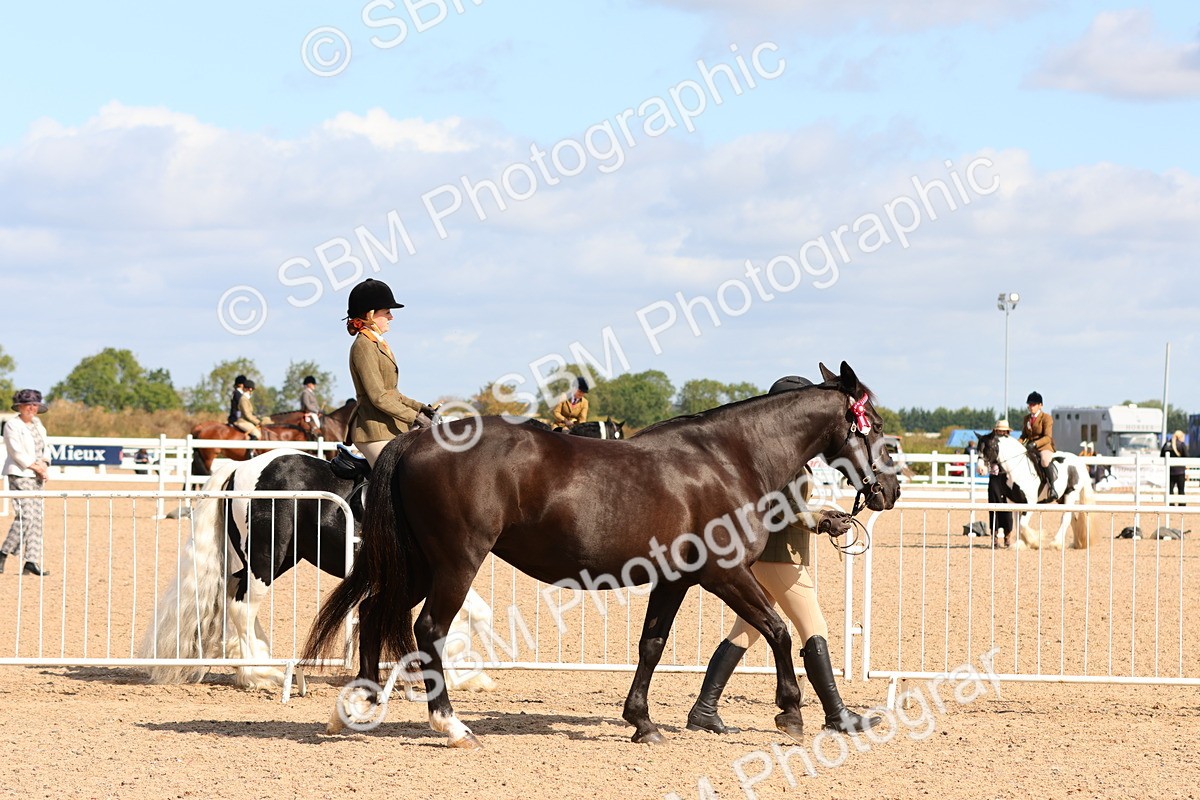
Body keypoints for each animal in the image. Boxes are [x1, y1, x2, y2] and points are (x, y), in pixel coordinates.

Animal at [141, 448, 497, 693]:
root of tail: (241, 467)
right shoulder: (443, 570)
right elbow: (463, 617)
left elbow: (470, 615)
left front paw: (465, 675)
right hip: (266, 558)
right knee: (242, 607)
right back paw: (257, 674)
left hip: (275, 559)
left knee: (235, 599)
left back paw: (259, 661)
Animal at [304, 361, 900, 748]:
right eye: (879, 428)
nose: (890, 491)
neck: (729, 459)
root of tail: (416, 440)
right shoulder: (723, 572)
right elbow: (777, 631)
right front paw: (791, 711)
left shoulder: (676, 578)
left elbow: (652, 646)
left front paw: (643, 722)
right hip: (455, 563)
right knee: (427, 628)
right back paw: (450, 725)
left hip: (419, 564)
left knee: (374, 612)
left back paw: (353, 709)